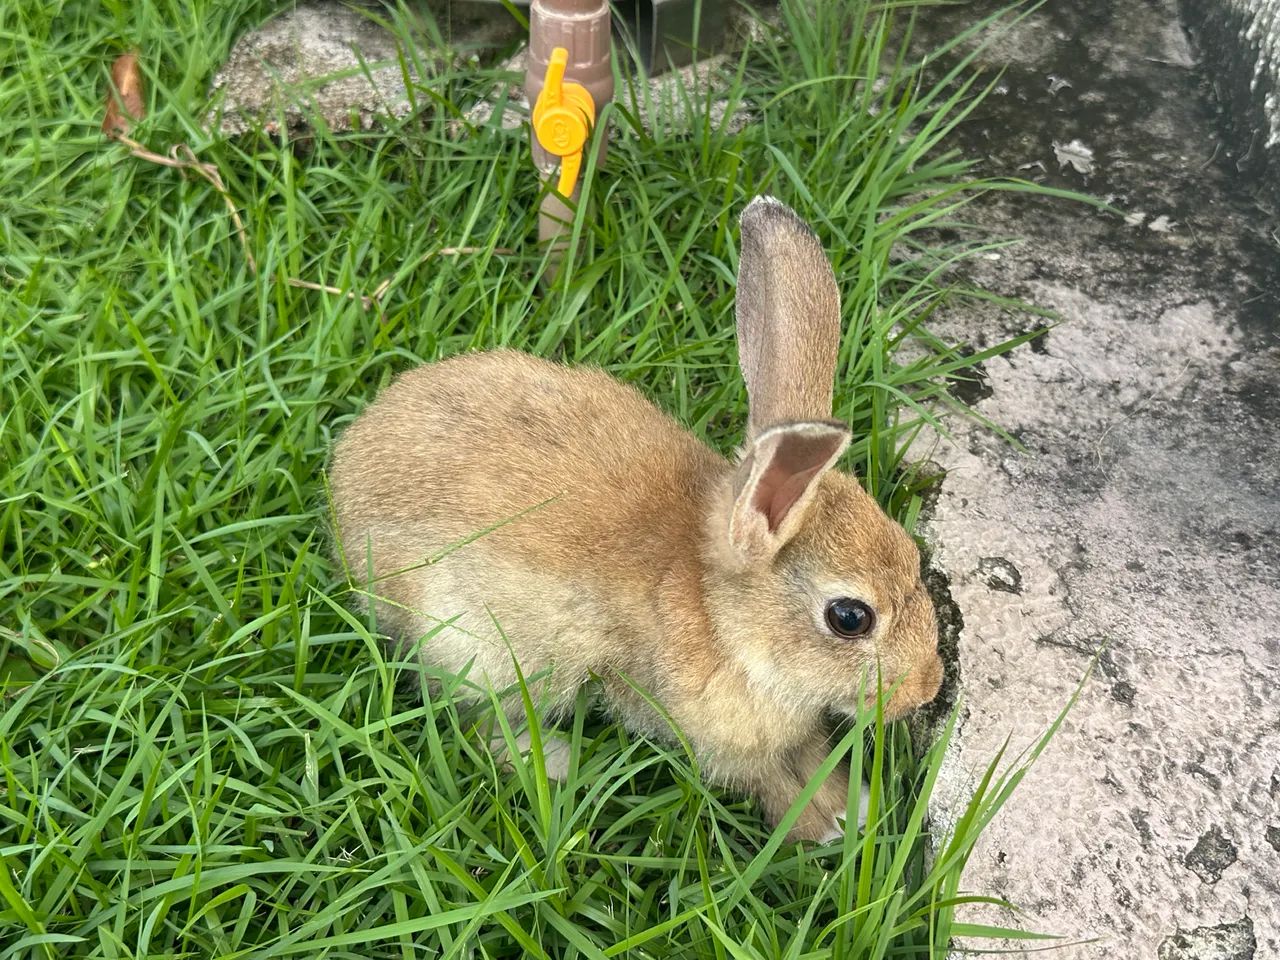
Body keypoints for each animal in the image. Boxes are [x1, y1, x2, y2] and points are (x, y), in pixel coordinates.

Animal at [329, 196, 943, 843]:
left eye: (914, 554)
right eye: (850, 617)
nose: (926, 687)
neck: (724, 618)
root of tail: (345, 480)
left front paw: (853, 807)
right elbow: (765, 780)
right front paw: (823, 824)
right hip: (476, 645)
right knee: (471, 716)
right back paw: (555, 761)